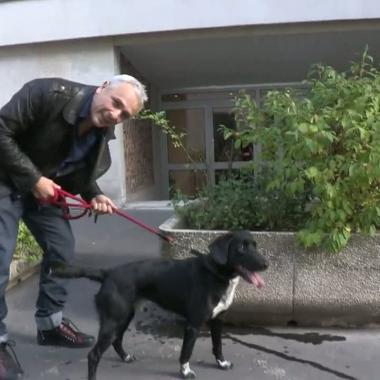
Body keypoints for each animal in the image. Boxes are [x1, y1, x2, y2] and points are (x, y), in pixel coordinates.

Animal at [52, 230, 268, 378]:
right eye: (241, 248)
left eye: (255, 245)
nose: (266, 264)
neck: (215, 273)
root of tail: (108, 273)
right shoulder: (193, 325)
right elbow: (186, 352)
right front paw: (185, 372)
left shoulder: (217, 320)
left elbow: (218, 346)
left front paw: (221, 363)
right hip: (113, 320)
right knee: (94, 355)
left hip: (124, 317)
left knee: (116, 341)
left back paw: (126, 357)